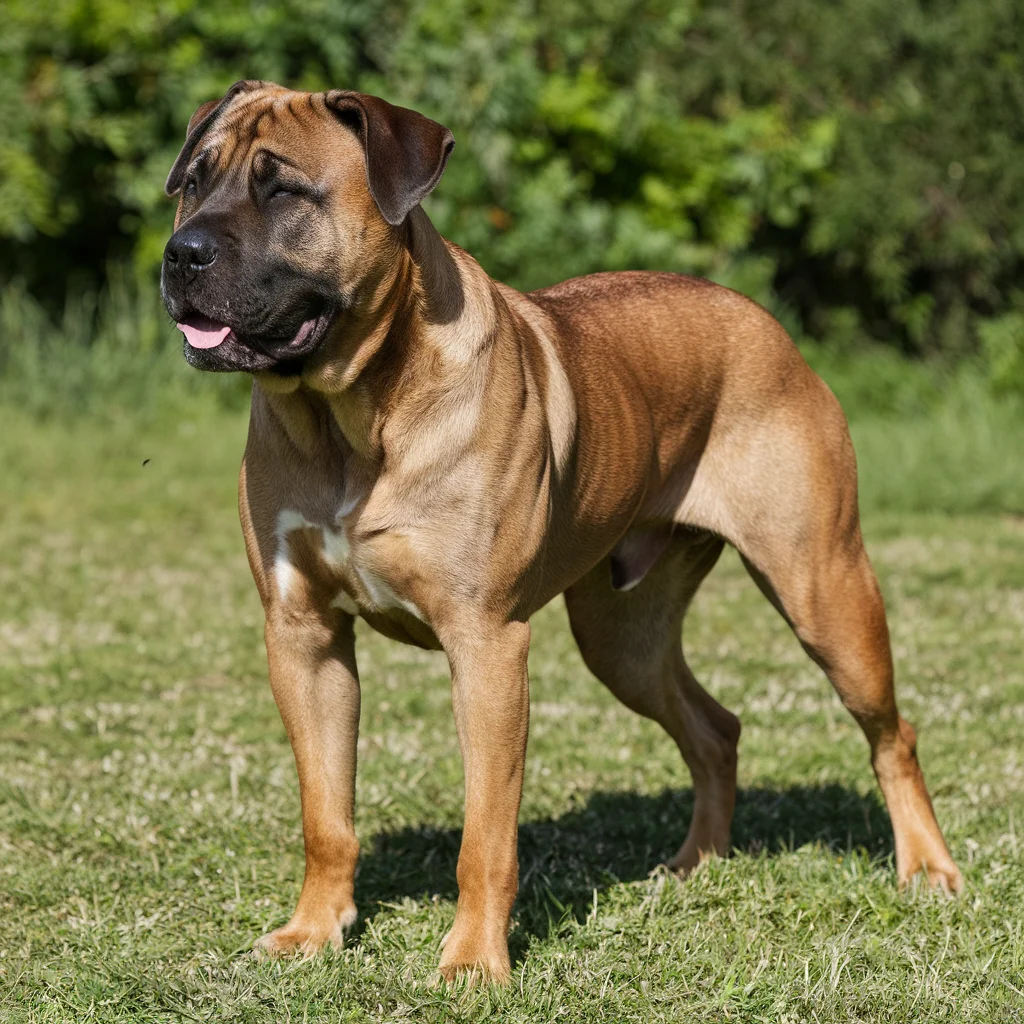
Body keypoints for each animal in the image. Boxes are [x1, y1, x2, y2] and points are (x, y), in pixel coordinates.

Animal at [159, 81, 958, 983]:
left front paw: (474, 963)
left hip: (824, 587)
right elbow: (325, 814)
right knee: (714, 729)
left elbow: (485, 835)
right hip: (623, 635)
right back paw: (695, 864)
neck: (349, 419)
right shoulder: (303, 634)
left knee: (892, 734)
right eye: (195, 181)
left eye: (285, 190)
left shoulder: (487, 644)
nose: (181, 255)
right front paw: (313, 931)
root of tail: (769, 325)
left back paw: (928, 870)